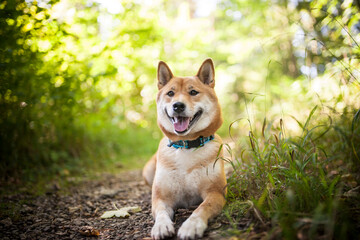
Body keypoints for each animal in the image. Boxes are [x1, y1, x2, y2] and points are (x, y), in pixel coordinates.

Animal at [142, 58, 226, 240]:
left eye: (193, 92)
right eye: (170, 93)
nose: (178, 106)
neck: (185, 146)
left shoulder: (215, 193)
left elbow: (202, 208)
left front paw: (191, 226)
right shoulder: (162, 198)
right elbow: (161, 212)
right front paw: (161, 226)